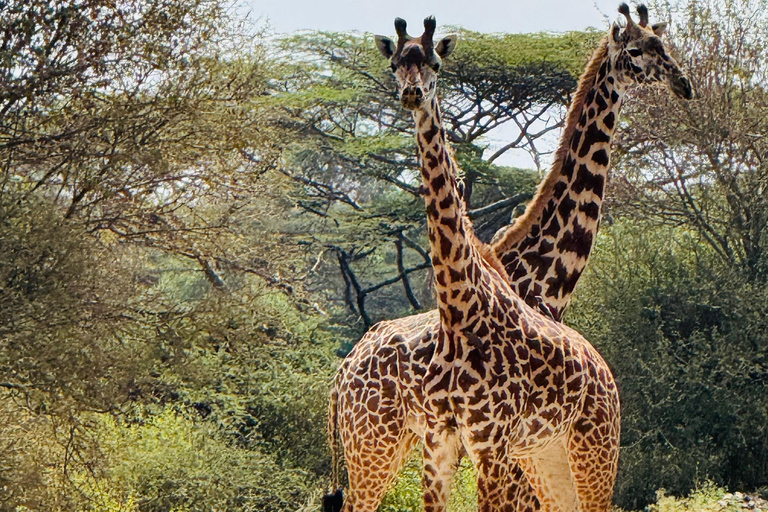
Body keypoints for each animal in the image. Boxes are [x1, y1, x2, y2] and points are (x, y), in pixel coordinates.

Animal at [325, 6, 693, 512]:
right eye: (637, 51)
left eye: (662, 46)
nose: (683, 83)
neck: (546, 275)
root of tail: (341, 375)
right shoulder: (487, 451)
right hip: (375, 444)